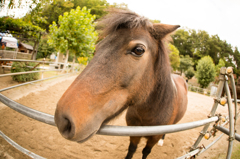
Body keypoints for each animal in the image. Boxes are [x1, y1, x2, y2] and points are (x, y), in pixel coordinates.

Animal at [54, 9, 188, 158]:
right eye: (97, 47)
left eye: (139, 50)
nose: (62, 120)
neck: (148, 112)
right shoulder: (134, 133)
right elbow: (131, 149)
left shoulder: (153, 138)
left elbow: (145, 152)